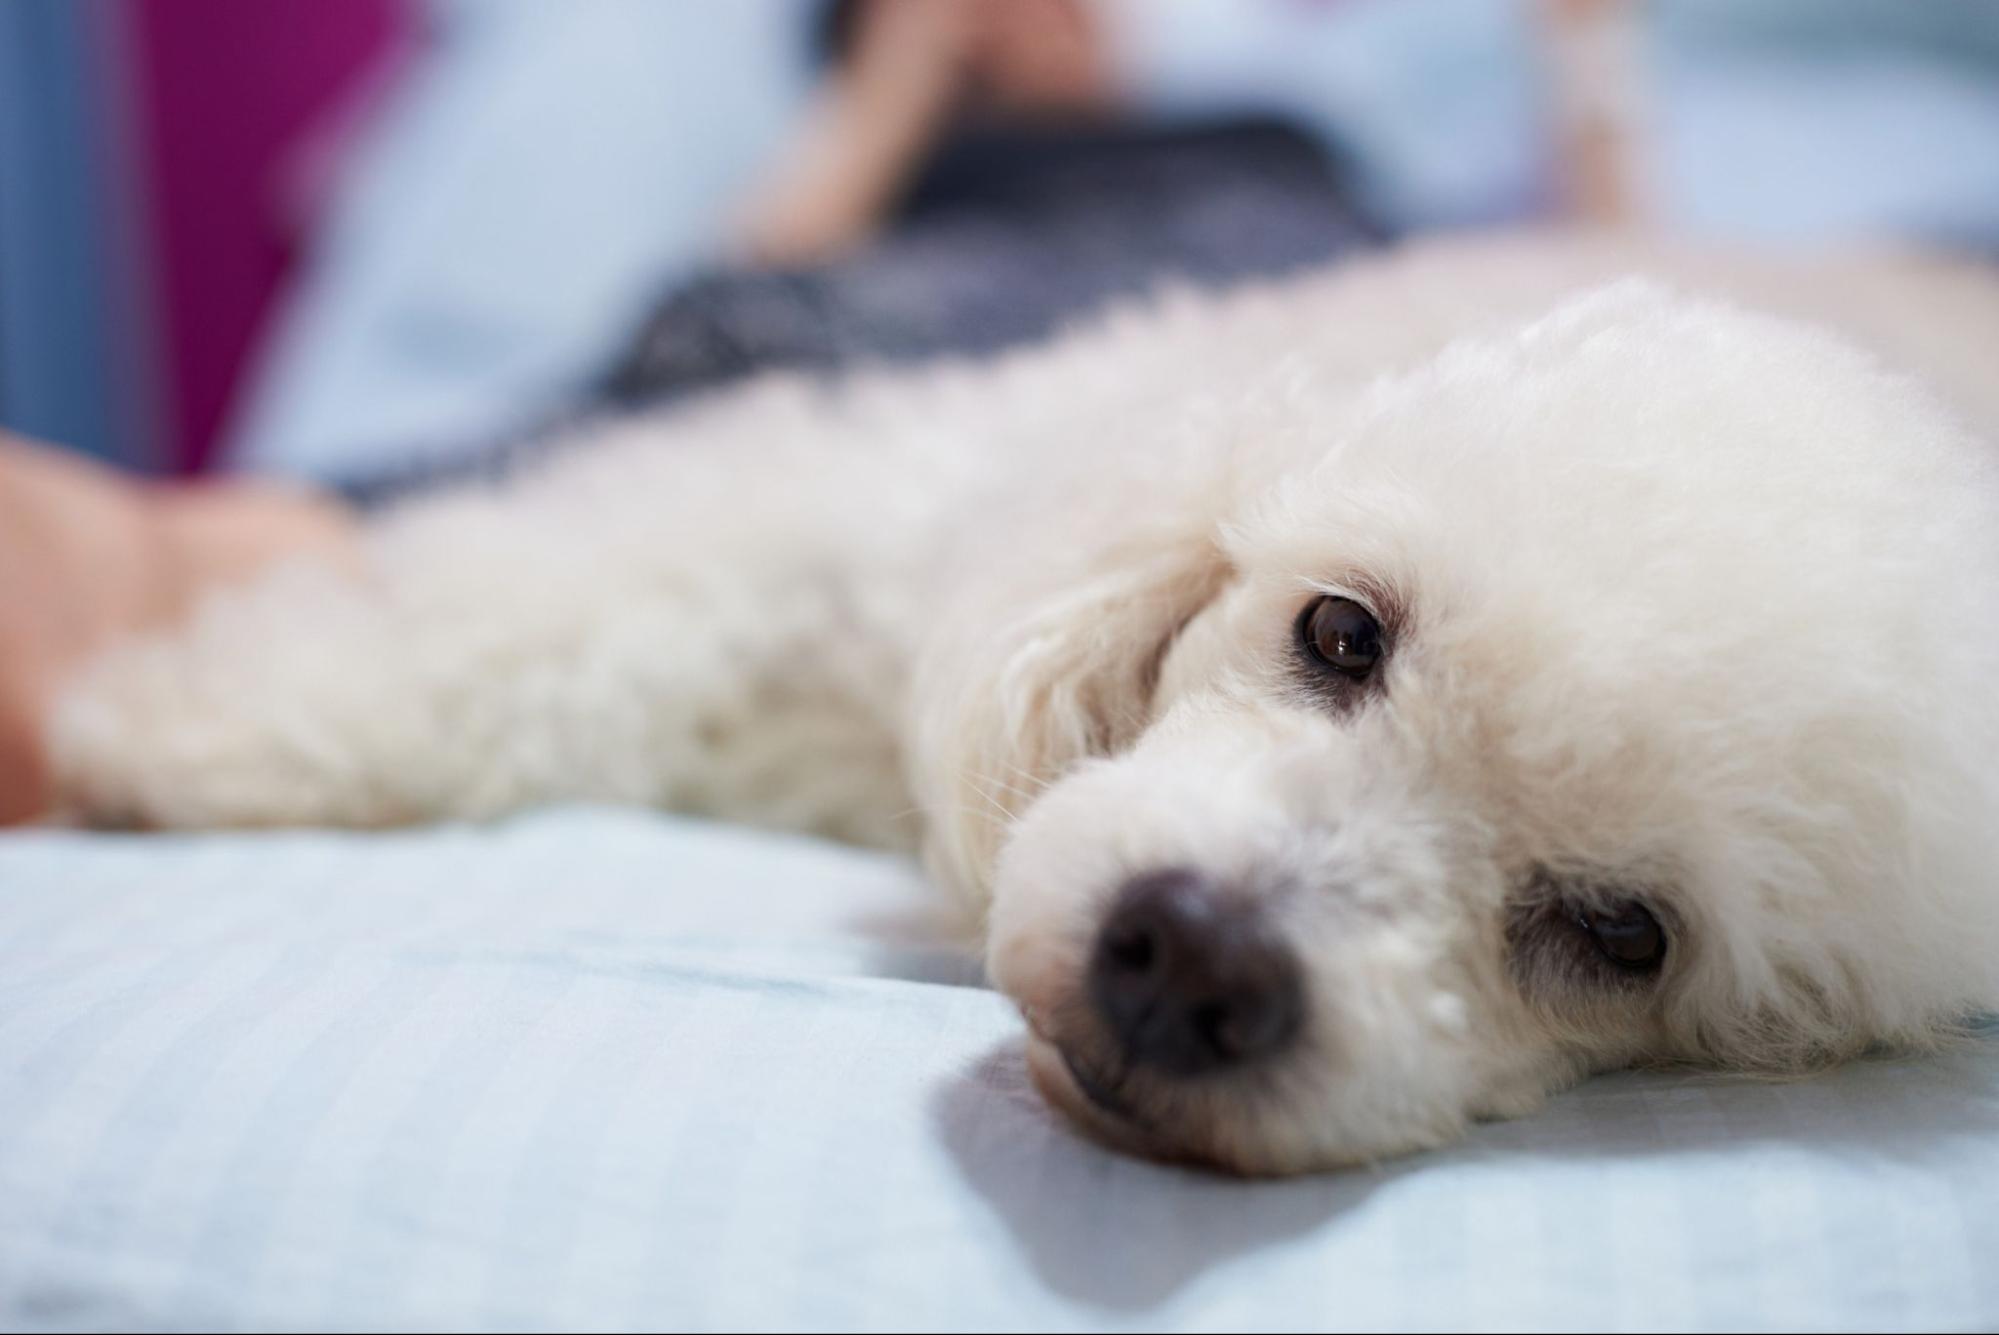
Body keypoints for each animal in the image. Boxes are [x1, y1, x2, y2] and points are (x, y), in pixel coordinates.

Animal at [42, 236, 1999, 1167]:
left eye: (1618, 934)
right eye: (1338, 632)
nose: (1193, 961)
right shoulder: (889, 525)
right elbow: (562, 594)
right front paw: (193, 720)